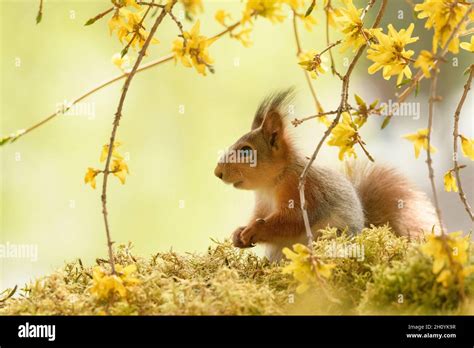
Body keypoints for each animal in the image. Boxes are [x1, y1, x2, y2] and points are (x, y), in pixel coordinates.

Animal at [215, 89, 436, 260]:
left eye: (246, 151)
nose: (217, 172)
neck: (271, 183)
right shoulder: (262, 203)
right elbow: (260, 217)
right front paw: (238, 233)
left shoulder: (303, 190)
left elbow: (292, 221)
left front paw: (255, 230)